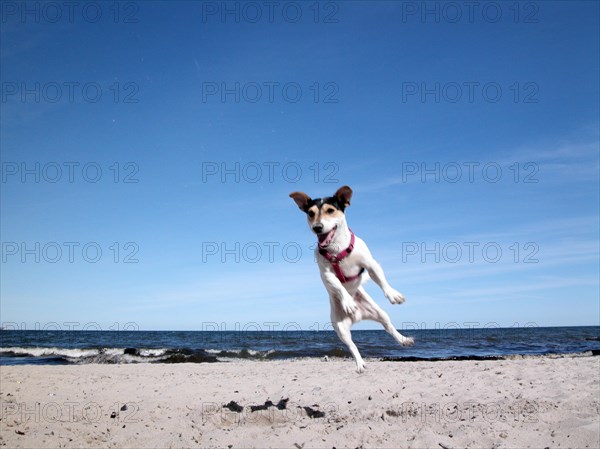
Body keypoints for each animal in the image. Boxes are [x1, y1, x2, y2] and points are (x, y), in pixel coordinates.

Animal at [290, 184, 412, 372]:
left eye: (330, 210)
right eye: (310, 213)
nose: (317, 227)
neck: (337, 248)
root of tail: (358, 317)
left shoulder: (370, 264)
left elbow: (381, 279)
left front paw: (393, 294)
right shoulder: (327, 274)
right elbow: (339, 287)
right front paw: (348, 302)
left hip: (380, 313)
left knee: (388, 326)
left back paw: (403, 340)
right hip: (340, 328)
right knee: (352, 345)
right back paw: (360, 362)